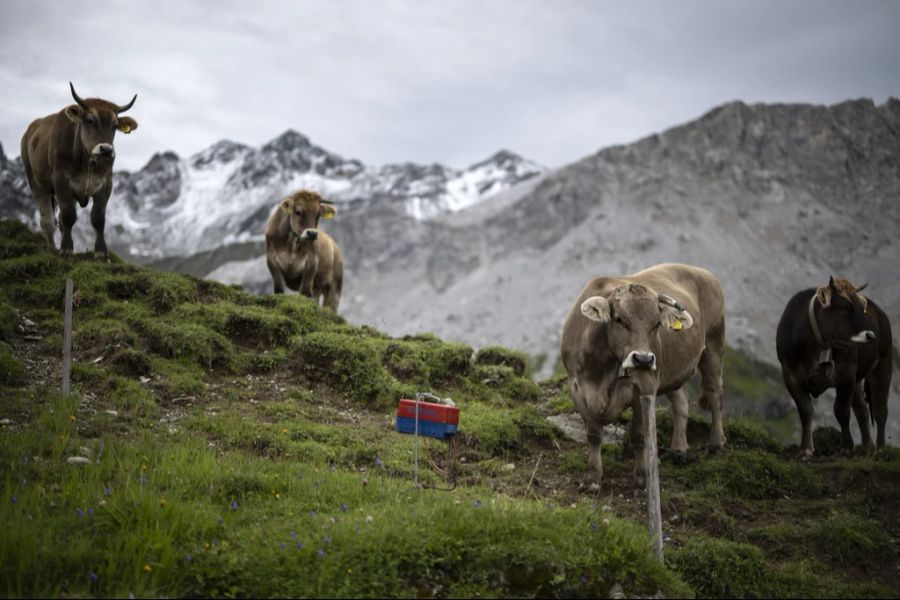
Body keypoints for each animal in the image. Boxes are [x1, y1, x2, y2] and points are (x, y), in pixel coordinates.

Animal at [19, 81, 137, 258]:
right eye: (89, 120)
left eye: (115, 125)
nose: (106, 150)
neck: (87, 163)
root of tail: (30, 130)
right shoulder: (61, 180)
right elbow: (68, 216)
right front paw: (66, 251)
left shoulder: (106, 183)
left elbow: (98, 218)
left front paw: (101, 254)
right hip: (35, 182)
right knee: (47, 219)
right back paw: (53, 249)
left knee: (59, 221)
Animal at [564, 264, 724, 488]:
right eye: (620, 320)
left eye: (656, 324)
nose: (644, 359)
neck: (601, 369)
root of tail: (702, 271)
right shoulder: (576, 387)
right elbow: (593, 434)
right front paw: (593, 477)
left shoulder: (645, 387)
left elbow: (639, 436)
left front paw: (642, 476)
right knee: (681, 402)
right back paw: (679, 449)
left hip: (714, 343)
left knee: (714, 393)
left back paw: (716, 443)